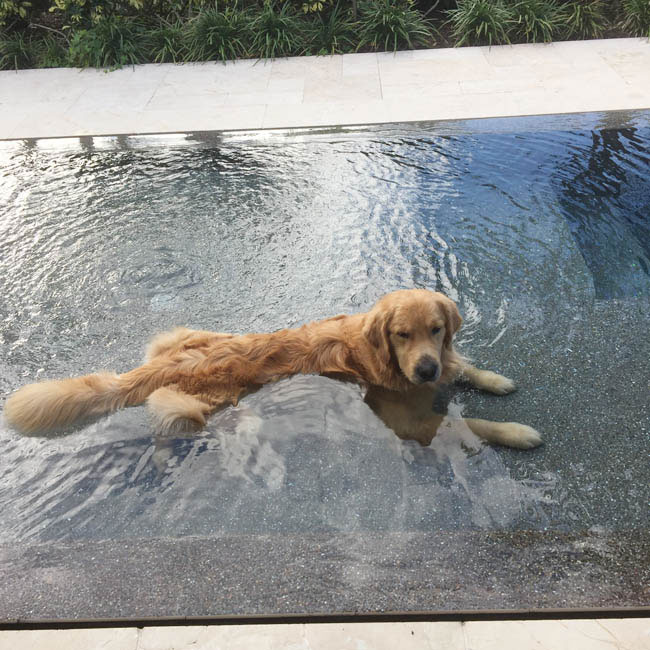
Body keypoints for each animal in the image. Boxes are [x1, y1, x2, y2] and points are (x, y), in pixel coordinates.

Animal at [5, 288, 540, 446]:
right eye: (401, 335)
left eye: (436, 329)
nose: (426, 370)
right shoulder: (408, 421)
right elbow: (471, 423)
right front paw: (517, 431)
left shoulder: (443, 363)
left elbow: (466, 367)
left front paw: (496, 379)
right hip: (192, 404)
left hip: (182, 334)